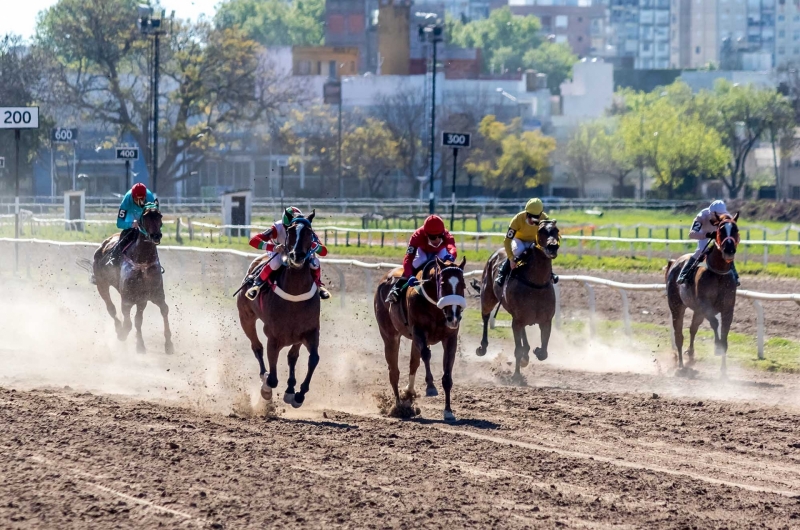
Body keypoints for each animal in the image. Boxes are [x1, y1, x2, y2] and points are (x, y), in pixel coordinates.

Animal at [90, 204, 172, 352]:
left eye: (160, 216)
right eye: (145, 217)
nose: (156, 235)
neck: (143, 263)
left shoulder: (153, 295)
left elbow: (163, 310)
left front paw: (168, 344)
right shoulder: (127, 299)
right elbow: (128, 323)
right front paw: (122, 334)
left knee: (137, 319)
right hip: (101, 284)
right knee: (111, 308)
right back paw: (119, 329)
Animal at [236, 210, 320, 404]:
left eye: (309, 232)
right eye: (290, 231)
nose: (297, 255)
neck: (295, 295)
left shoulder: (309, 332)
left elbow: (312, 359)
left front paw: (298, 393)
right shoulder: (273, 337)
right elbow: (273, 378)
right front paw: (267, 387)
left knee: (292, 357)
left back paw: (290, 389)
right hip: (246, 317)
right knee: (257, 347)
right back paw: (263, 375)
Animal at [376, 256, 468, 420]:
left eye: (462, 285)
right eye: (443, 284)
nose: (453, 317)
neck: (436, 308)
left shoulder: (450, 338)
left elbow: (447, 374)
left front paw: (448, 410)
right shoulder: (419, 331)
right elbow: (426, 354)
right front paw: (430, 386)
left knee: (413, 363)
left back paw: (408, 392)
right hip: (389, 335)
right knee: (394, 371)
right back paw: (399, 406)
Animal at [476, 220, 564, 384]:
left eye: (556, 230)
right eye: (541, 231)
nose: (553, 247)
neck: (536, 283)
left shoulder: (545, 321)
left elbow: (544, 352)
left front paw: (535, 352)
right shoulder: (517, 321)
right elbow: (517, 349)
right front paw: (516, 375)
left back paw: (527, 354)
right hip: (487, 295)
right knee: (485, 316)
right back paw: (482, 348)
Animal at [664, 210, 740, 376]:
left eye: (736, 229)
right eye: (720, 230)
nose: (729, 250)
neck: (718, 272)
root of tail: (674, 263)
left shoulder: (728, 309)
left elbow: (724, 335)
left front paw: (723, 371)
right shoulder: (705, 305)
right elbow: (715, 323)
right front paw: (717, 347)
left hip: (697, 311)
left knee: (693, 329)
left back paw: (690, 355)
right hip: (676, 306)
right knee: (679, 335)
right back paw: (680, 365)